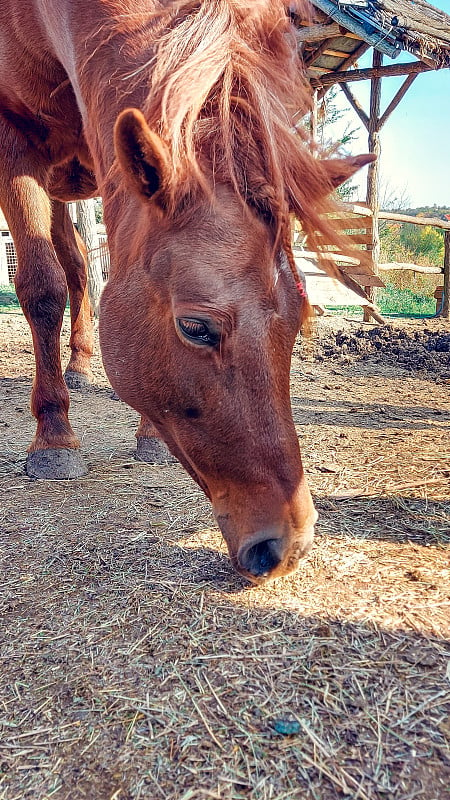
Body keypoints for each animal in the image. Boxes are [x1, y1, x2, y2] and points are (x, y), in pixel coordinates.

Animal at [0, 3, 372, 584]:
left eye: (296, 325)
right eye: (196, 327)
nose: (287, 547)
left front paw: (148, 435)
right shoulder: (15, 142)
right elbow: (41, 287)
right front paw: (53, 439)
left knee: (80, 266)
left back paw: (81, 363)